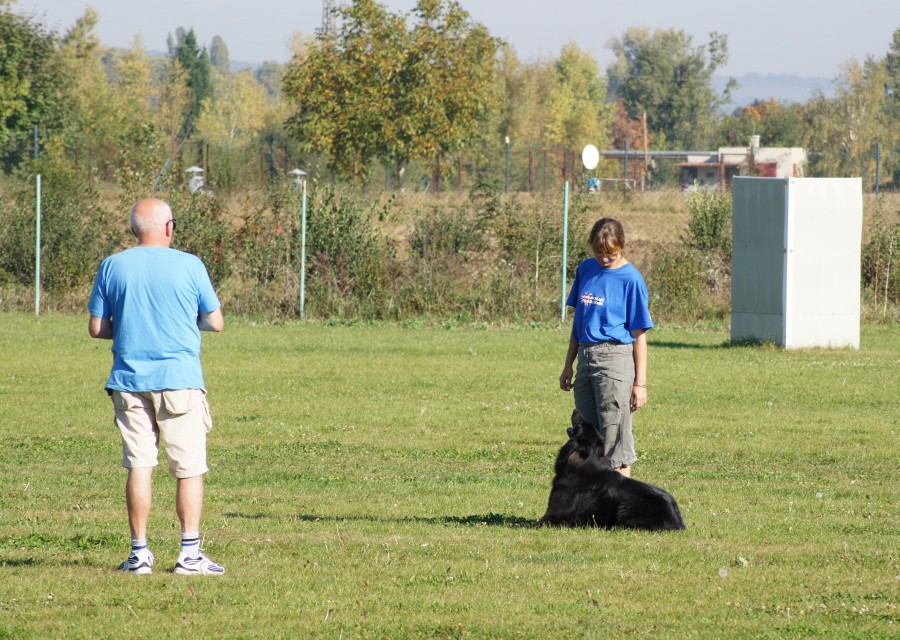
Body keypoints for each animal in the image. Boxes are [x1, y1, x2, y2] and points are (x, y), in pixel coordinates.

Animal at [536, 410, 684, 528]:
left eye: (580, 425)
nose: (576, 409)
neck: (587, 461)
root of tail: (677, 523)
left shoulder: (555, 514)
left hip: (625, 508)